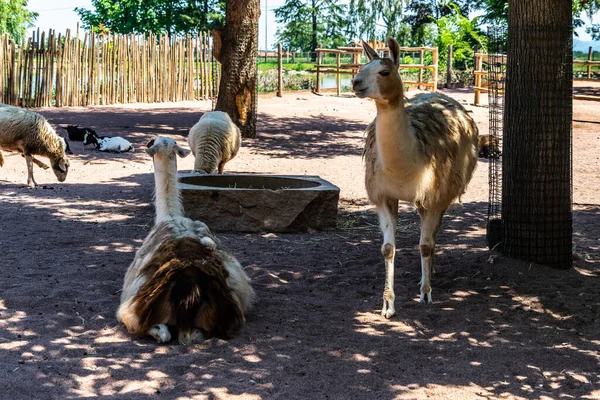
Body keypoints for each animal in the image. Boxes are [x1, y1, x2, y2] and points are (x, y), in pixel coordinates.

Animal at [117, 137, 255, 344]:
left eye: (152, 142)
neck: (170, 216)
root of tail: (190, 287)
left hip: (134, 309)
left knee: (162, 332)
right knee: (197, 334)